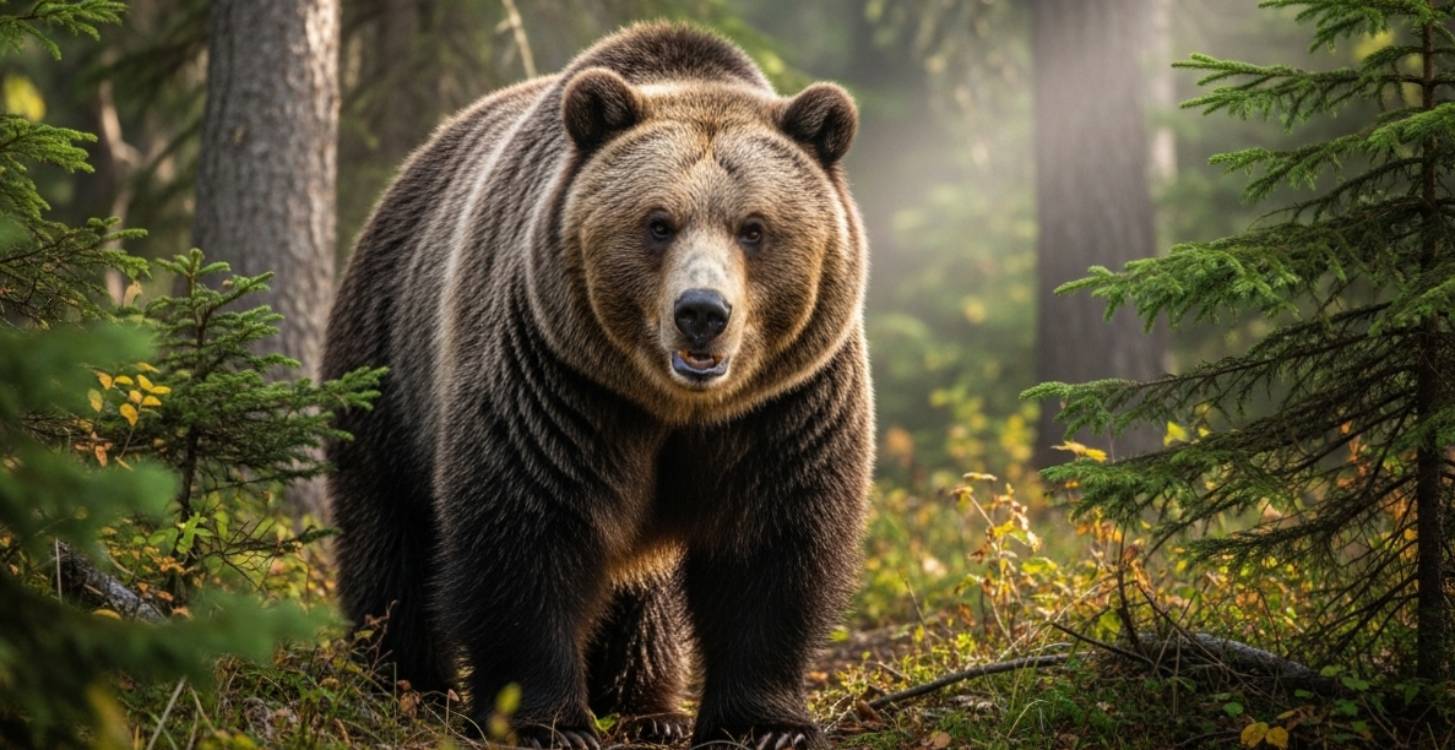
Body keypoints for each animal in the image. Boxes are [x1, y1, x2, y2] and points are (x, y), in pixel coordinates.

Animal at [323, 22, 872, 750]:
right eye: (658, 222)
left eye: (753, 228)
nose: (702, 312)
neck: (673, 407)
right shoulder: (557, 384)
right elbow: (528, 533)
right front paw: (548, 722)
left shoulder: (785, 404)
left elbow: (772, 545)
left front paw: (764, 724)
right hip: (386, 366)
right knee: (391, 539)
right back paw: (405, 685)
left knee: (644, 592)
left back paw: (650, 709)